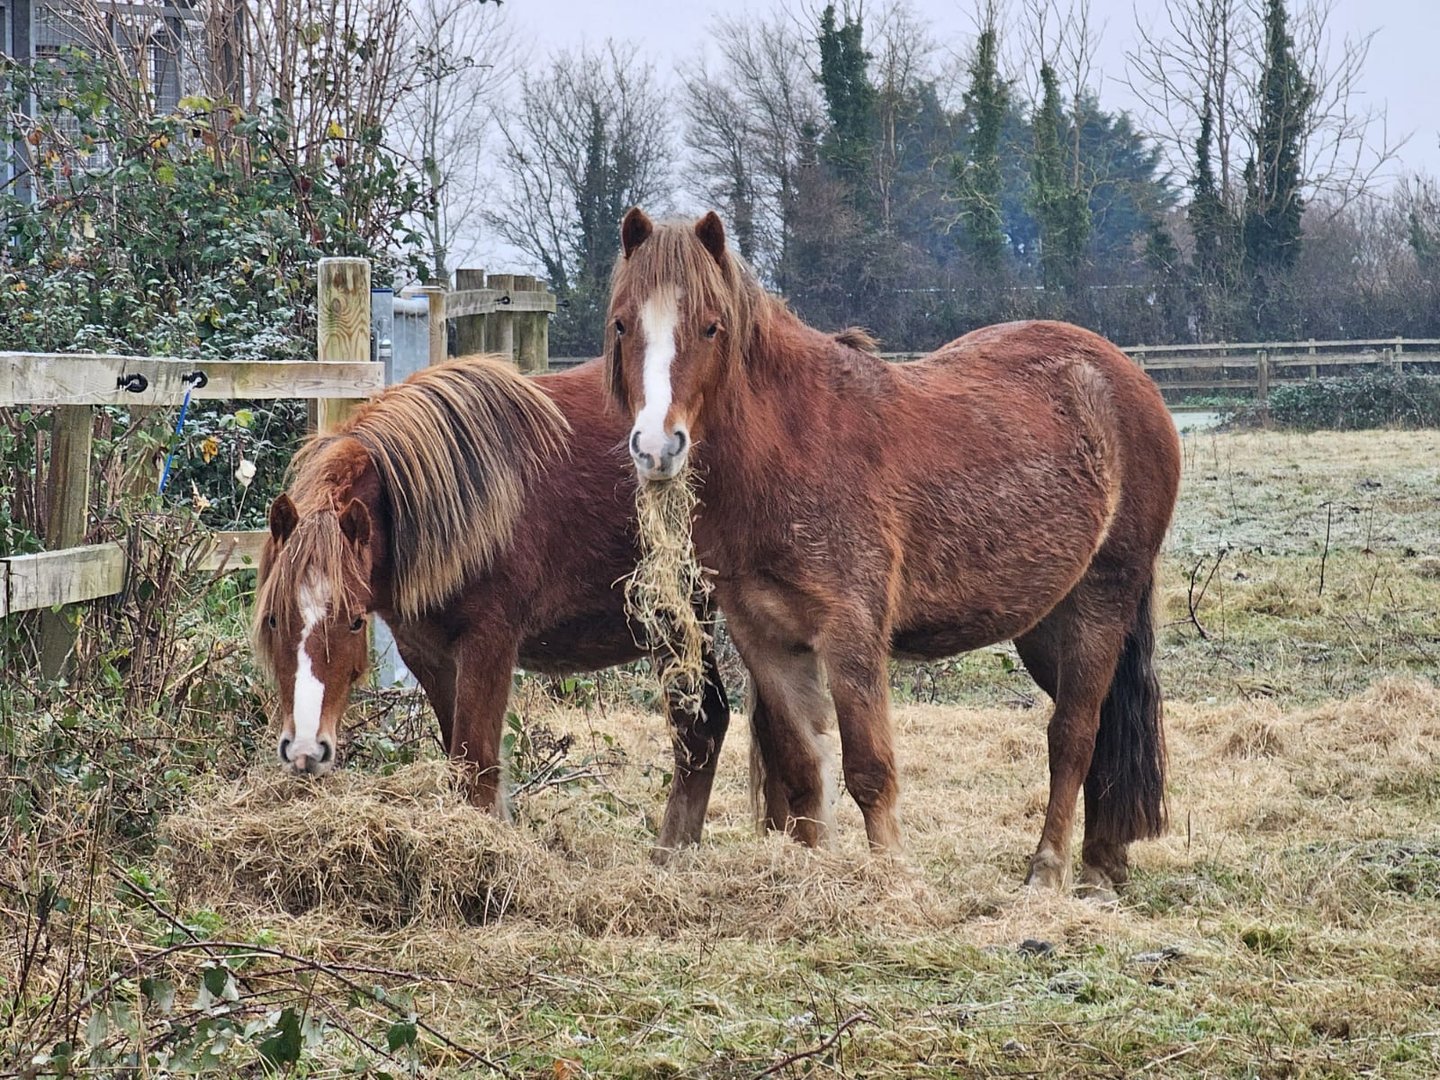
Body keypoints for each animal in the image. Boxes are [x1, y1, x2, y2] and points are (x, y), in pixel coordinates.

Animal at [251, 354, 737, 858]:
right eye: (273, 619)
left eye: (352, 623)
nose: (306, 750)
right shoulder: (427, 654)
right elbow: (464, 762)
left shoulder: (489, 645)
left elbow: (476, 765)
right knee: (704, 728)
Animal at [604, 208, 1182, 895]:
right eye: (622, 323)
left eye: (711, 327)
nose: (656, 447)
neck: (790, 446)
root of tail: (1130, 379)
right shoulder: (767, 640)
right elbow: (803, 769)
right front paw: (816, 875)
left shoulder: (850, 633)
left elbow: (869, 770)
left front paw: (894, 881)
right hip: (1045, 624)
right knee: (1103, 732)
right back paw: (1103, 866)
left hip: (1101, 601)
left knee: (1074, 733)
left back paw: (1049, 871)